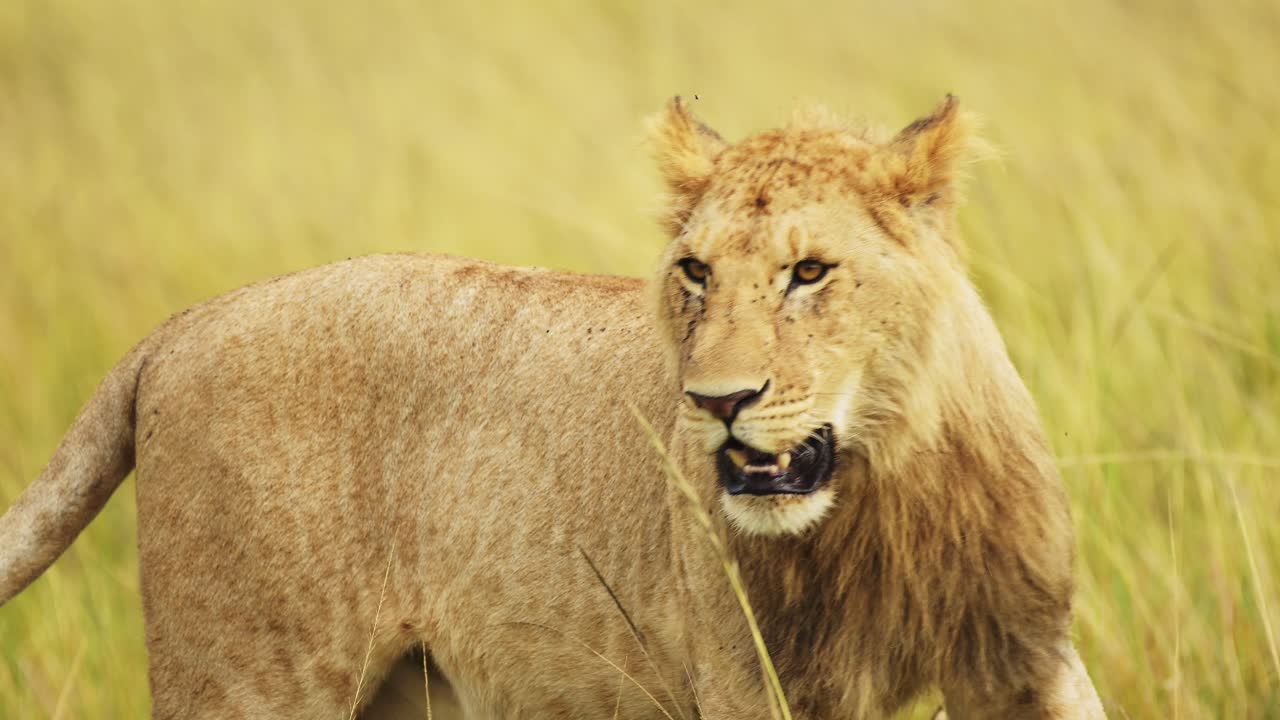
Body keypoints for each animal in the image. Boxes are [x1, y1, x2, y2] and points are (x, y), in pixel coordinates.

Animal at [0, 96, 1104, 719]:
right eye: (695, 271)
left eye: (808, 272)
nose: (717, 403)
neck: (885, 497)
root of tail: (181, 325)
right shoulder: (751, 684)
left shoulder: (1028, 661)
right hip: (248, 681)